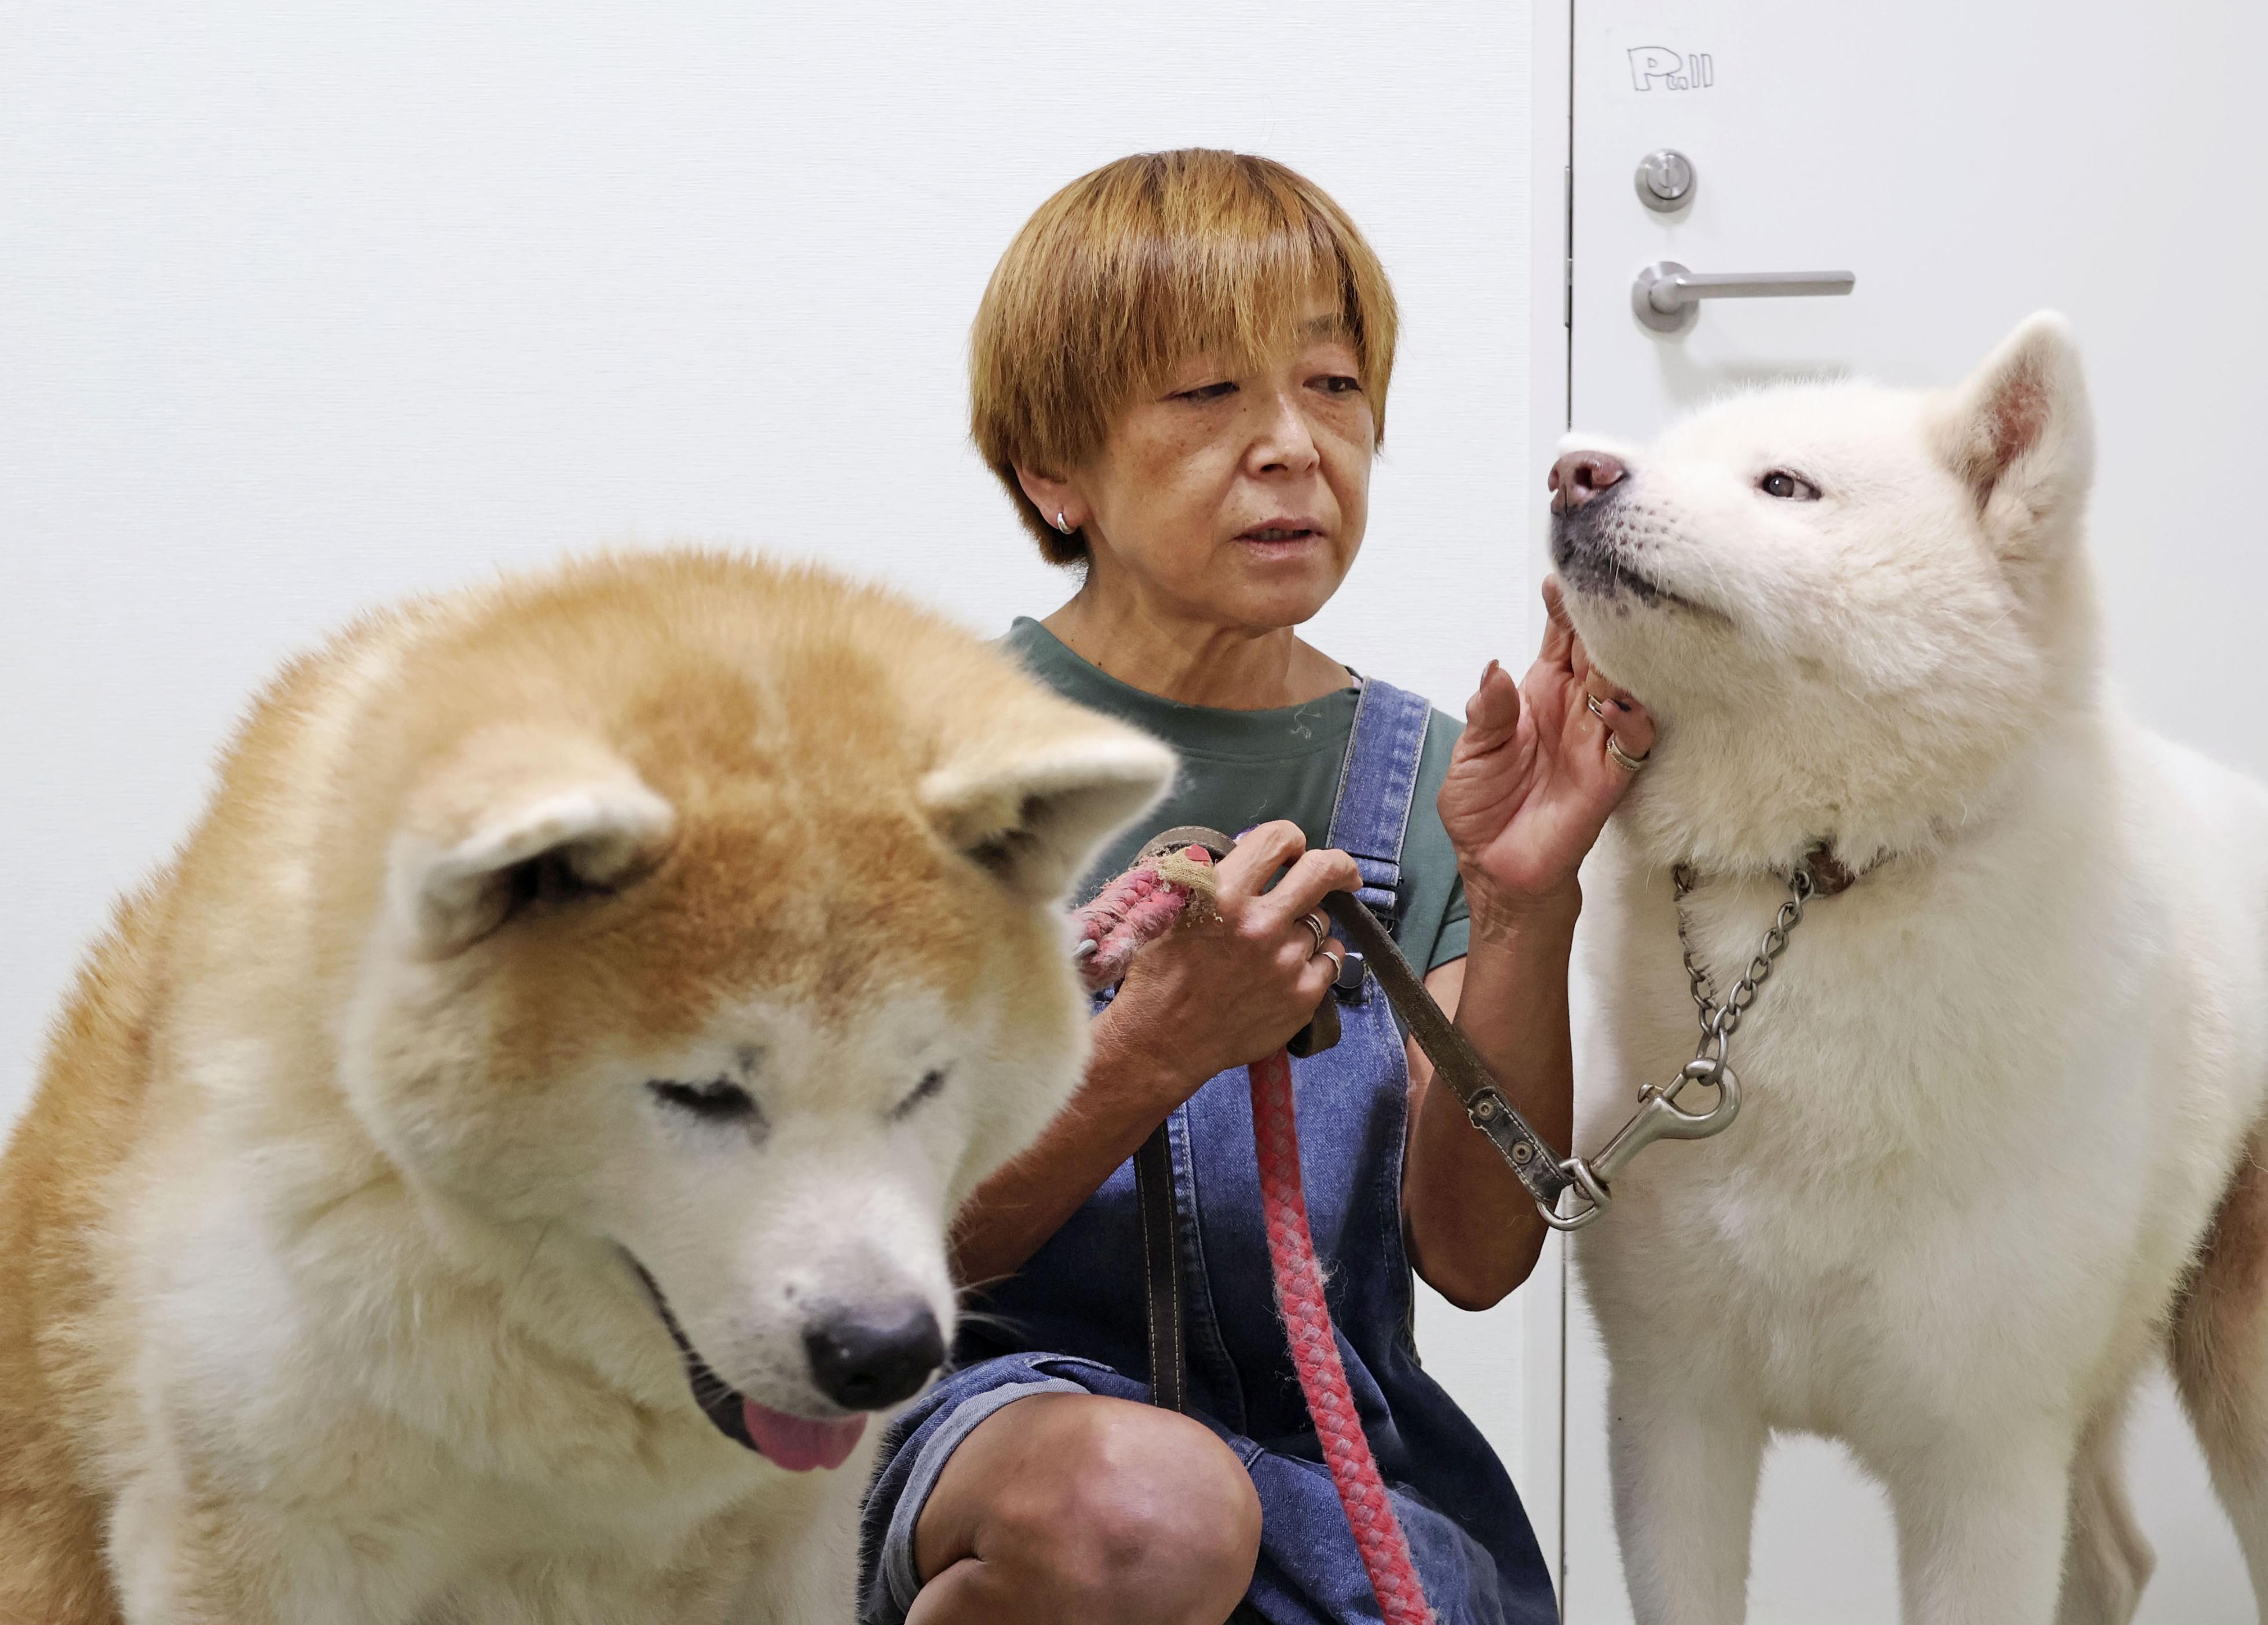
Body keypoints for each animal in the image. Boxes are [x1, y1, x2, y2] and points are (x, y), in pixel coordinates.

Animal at [1560, 317, 2268, 1623]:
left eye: (1783, 486)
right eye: (1666, 454)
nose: (1571, 471)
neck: (1812, 882)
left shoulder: (1980, 1461)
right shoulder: (1675, 1414)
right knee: (2112, 1555)